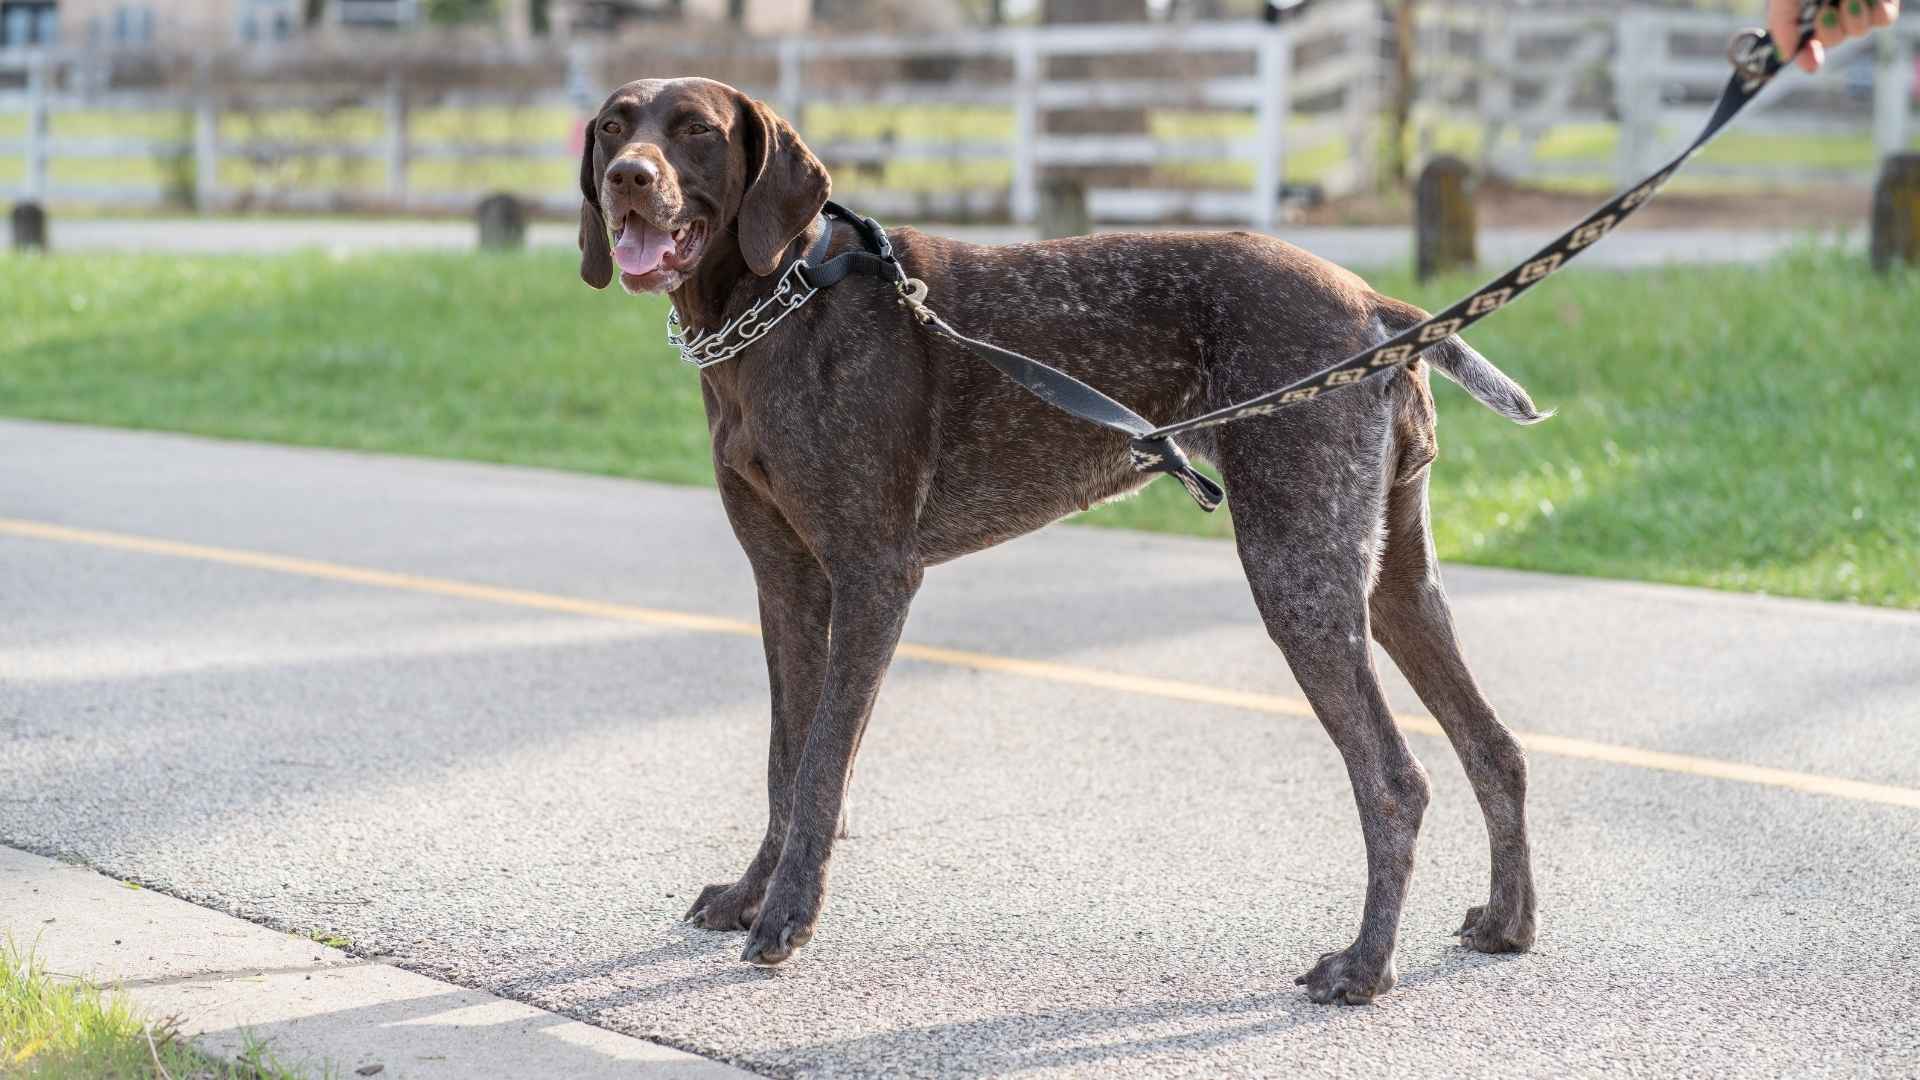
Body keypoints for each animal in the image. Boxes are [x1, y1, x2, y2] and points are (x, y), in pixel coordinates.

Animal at [572, 77, 1543, 1006]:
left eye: (695, 130)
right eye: (615, 126)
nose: (628, 178)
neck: (779, 303)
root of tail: (1377, 307)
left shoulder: (873, 578)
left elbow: (818, 770)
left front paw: (785, 919)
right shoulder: (787, 584)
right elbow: (784, 761)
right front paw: (751, 896)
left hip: (1296, 575)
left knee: (1395, 781)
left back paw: (1365, 967)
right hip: (1393, 583)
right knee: (1494, 749)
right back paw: (1506, 922)